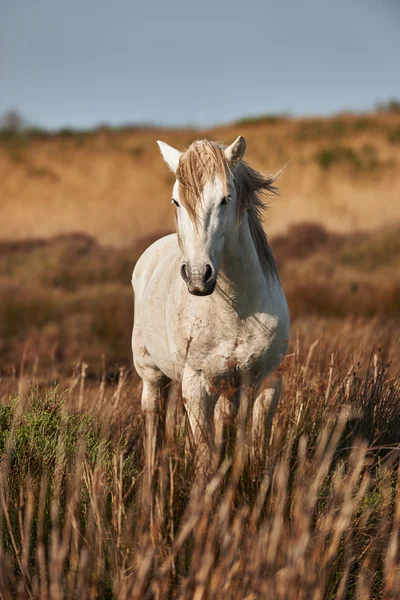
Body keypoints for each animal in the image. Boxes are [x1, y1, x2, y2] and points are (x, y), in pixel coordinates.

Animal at [133, 137, 290, 474]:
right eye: (176, 201)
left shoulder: (268, 381)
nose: (197, 276)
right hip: (150, 373)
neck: (237, 311)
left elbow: (256, 447)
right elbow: (205, 456)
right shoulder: (196, 385)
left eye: (225, 199)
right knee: (153, 416)